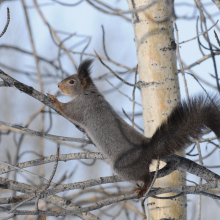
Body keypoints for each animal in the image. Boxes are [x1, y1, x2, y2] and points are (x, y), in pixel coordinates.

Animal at [47, 59, 220, 199]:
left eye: (71, 81)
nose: (58, 85)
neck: (86, 92)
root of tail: (147, 149)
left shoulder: (82, 107)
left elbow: (68, 111)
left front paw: (54, 100)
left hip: (125, 166)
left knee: (146, 176)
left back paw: (143, 188)